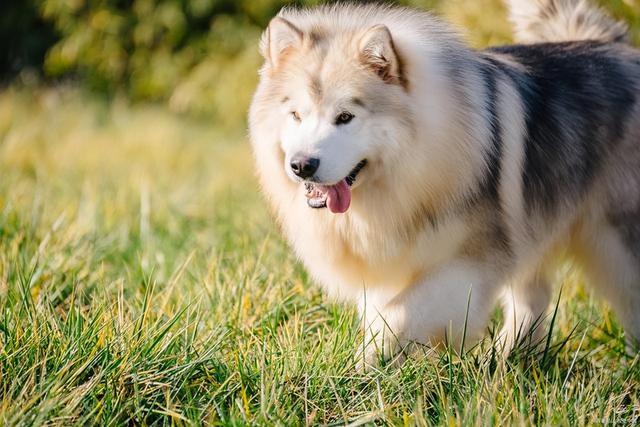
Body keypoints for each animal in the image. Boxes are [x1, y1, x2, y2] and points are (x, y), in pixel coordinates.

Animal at [249, 0, 640, 368]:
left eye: (345, 117)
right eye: (296, 114)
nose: (302, 165)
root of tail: (615, 45)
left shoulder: (468, 263)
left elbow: (398, 316)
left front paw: (358, 370)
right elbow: (384, 315)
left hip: (616, 241)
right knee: (532, 301)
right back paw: (503, 361)